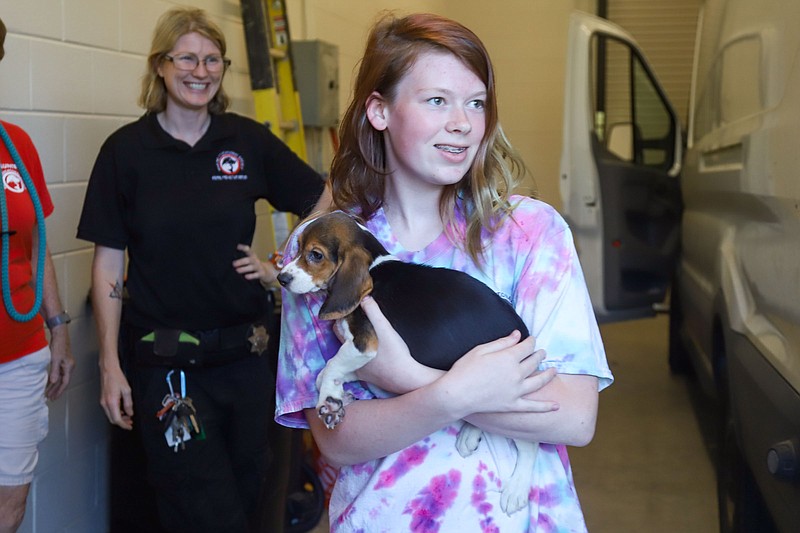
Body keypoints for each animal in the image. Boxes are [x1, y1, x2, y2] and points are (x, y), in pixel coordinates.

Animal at [278, 212, 540, 516]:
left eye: (315, 255)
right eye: (297, 249)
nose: (281, 278)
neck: (373, 267)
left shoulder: (365, 344)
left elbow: (331, 364)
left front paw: (329, 399)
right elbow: (333, 370)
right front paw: (338, 396)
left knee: (529, 442)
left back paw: (517, 488)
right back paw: (469, 434)